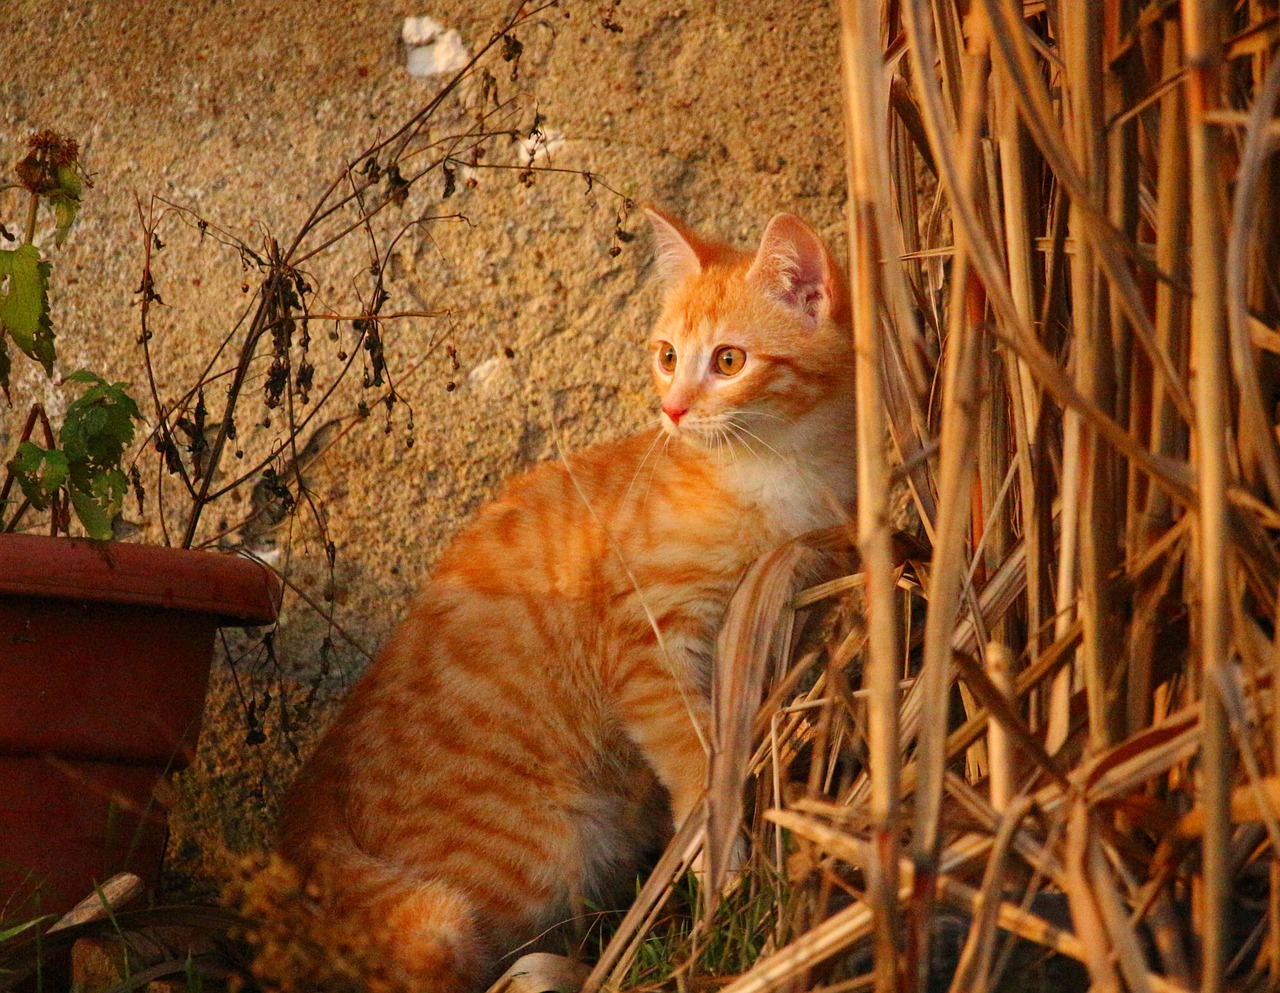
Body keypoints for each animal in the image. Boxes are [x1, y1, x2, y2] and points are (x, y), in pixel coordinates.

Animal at [277, 206, 860, 987]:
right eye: (668, 355)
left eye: (729, 361)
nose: (672, 409)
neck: (776, 474)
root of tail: (314, 797)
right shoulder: (647, 644)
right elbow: (693, 755)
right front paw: (718, 856)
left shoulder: (788, 611)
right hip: (539, 853)